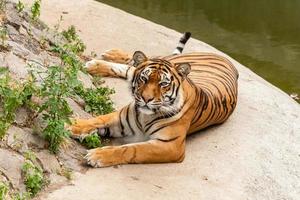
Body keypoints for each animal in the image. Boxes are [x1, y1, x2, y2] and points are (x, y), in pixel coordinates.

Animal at [68, 32, 239, 167]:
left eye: (163, 84)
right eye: (144, 79)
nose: (146, 99)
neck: (145, 116)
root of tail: (226, 59)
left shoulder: (170, 146)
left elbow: (132, 149)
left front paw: (97, 155)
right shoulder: (119, 117)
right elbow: (97, 119)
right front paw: (71, 125)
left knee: (131, 67)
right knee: (137, 61)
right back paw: (104, 59)